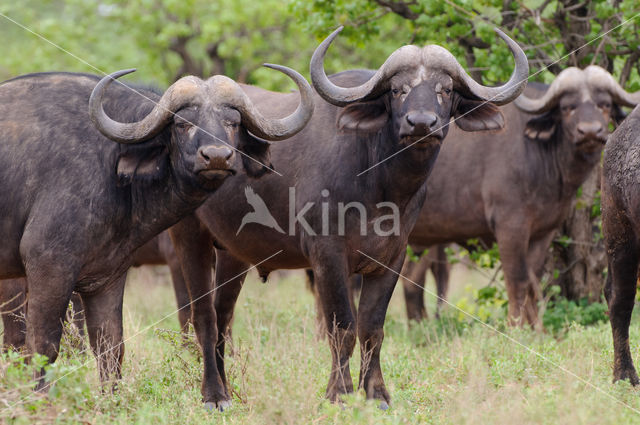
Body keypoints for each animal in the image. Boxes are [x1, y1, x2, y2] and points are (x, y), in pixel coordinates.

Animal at [0, 63, 312, 400]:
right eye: (183, 124)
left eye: (233, 123)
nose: (216, 156)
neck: (110, 162)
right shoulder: (49, 267)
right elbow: (42, 347)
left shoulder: (106, 277)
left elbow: (111, 348)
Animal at [168, 25, 528, 408]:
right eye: (398, 90)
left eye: (444, 90)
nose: (421, 123)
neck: (380, 184)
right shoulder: (327, 255)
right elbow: (342, 326)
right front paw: (339, 392)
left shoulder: (392, 258)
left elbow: (372, 327)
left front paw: (376, 393)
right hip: (189, 238)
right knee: (204, 316)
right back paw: (213, 395)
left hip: (233, 253)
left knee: (223, 315)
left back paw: (228, 389)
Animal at [404, 65, 640, 324]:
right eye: (567, 107)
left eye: (604, 104)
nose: (589, 132)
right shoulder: (510, 227)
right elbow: (517, 279)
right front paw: (515, 324)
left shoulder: (543, 232)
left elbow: (532, 279)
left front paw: (534, 325)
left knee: (412, 280)